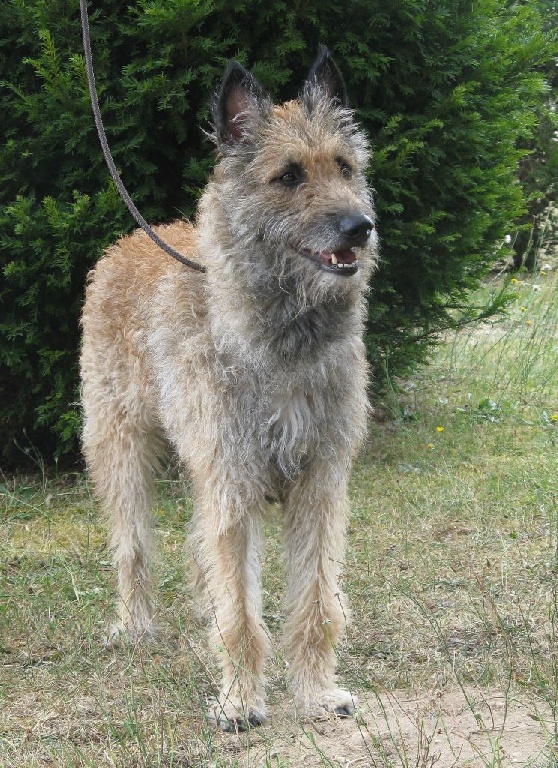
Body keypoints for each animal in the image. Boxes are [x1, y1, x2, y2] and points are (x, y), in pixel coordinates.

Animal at [81, 48, 380, 732]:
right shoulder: (233, 483)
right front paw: (240, 700)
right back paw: (134, 625)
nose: (360, 227)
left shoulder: (319, 482)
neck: (283, 337)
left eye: (344, 167)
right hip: (118, 449)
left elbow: (315, 601)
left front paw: (315, 693)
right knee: (134, 549)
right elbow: (241, 610)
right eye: (288, 176)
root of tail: (124, 244)